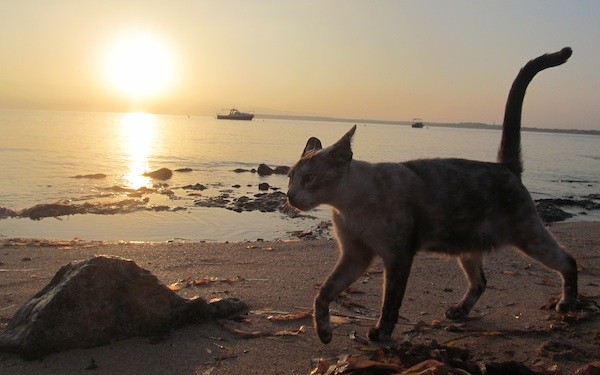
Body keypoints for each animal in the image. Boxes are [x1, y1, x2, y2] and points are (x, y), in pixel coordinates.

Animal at [288, 47, 580, 346]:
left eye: (308, 179)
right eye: (290, 177)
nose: (289, 196)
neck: (347, 208)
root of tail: (506, 166)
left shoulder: (397, 256)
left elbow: (390, 303)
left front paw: (381, 333)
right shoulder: (355, 255)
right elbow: (323, 293)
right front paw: (324, 332)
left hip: (529, 237)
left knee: (568, 261)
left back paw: (566, 303)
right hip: (467, 247)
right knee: (481, 281)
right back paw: (459, 311)